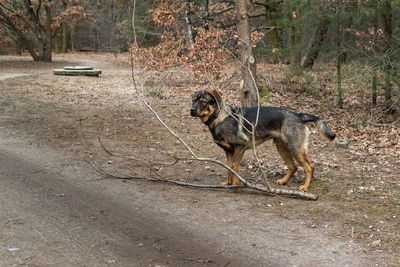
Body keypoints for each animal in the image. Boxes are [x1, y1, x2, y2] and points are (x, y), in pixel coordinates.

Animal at [189, 89, 336, 192]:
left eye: (203, 101)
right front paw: (228, 183)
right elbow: (229, 168)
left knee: (309, 167)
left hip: (296, 149)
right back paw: (283, 181)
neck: (219, 118)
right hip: (282, 148)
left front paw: (235, 183)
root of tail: (298, 115)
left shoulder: (240, 146)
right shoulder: (229, 151)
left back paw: (305, 187)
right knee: (293, 167)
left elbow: (234, 167)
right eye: (193, 100)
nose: (191, 110)